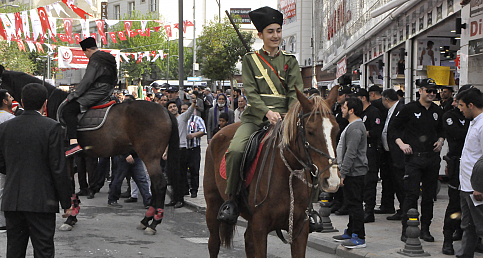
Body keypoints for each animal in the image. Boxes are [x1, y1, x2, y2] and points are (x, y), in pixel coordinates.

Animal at [203, 86, 340, 258]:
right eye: (310, 131)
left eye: (336, 130)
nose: (332, 180)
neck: (287, 176)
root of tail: (216, 135)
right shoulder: (260, 227)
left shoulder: (300, 230)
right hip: (213, 205)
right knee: (214, 243)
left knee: (247, 241)